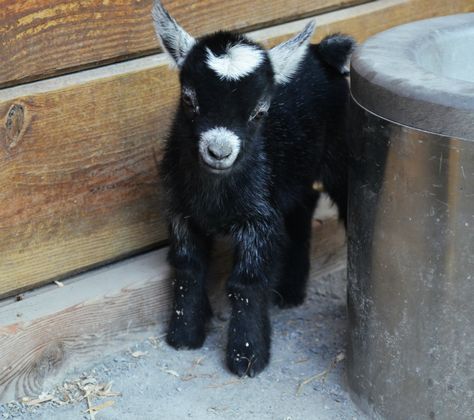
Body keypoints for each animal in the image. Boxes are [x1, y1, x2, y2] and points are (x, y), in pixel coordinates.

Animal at [153, 0, 356, 378]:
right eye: (189, 100)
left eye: (260, 112)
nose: (218, 152)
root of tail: (321, 51)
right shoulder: (180, 210)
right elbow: (188, 267)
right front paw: (185, 335)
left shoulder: (258, 218)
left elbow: (246, 281)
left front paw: (247, 357)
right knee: (303, 205)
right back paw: (291, 291)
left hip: (340, 153)